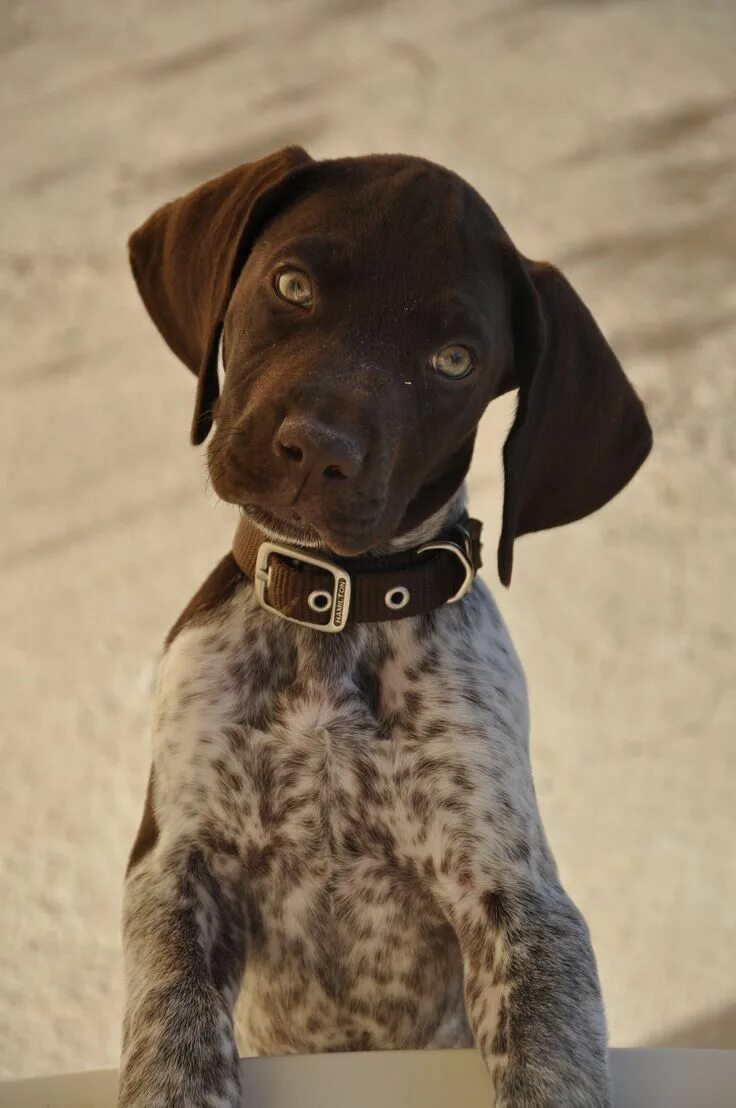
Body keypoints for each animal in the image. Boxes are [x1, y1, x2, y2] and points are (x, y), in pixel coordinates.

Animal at [118, 147, 651, 1108]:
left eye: (453, 360)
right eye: (291, 285)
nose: (318, 449)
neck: (337, 605)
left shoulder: (515, 898)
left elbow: (550, 1063)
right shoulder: (177, 867)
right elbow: (173, 1031)